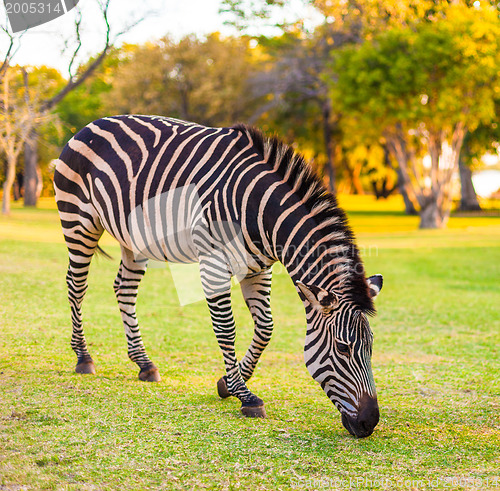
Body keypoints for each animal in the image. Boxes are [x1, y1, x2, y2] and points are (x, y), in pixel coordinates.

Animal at [53, 114, 382, 438]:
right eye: (343, 348)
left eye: (370, 346)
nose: (369, 423)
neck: (260, 210)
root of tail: (92, 123)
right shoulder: (213, 263)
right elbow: (226, 328)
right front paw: (244, 395)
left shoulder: (259, 267)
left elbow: (266, 328)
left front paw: (228, 383)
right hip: (79, 222)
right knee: (76, 286)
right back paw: (83, 357)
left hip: (133, 237)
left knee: (124, 289)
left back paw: (144, 363)